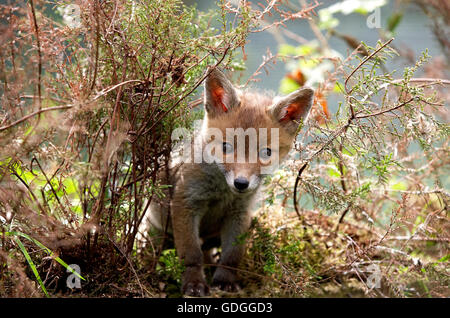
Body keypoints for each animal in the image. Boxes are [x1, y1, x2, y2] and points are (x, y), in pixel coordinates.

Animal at [148, 67, 312, 296]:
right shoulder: (185, 203)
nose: (241, 183)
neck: (221, 192)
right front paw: (194, 283)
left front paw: (225, 280)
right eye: (226, 147)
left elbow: (232, 254)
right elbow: (191, 253)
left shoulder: (240, 212)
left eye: (266, 152)